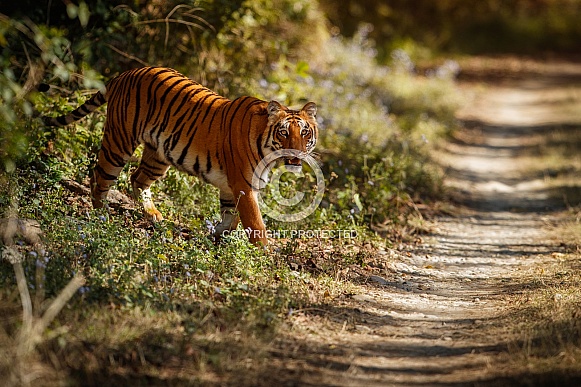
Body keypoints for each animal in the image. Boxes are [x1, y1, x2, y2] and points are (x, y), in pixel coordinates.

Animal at [43, 66, 318, 246]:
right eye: (283, 132)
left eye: (304, 133)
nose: (297, 152)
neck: (269, 154)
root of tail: (125, 73)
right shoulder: (244, 185)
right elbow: (255, 223)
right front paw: (264, 254)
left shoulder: (231, 188)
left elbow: (231, 218)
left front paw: (216, 239)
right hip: (119, 142)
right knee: (100, 177)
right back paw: (103, 217)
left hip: (158, 156)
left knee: (137, 178)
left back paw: (153, 216)